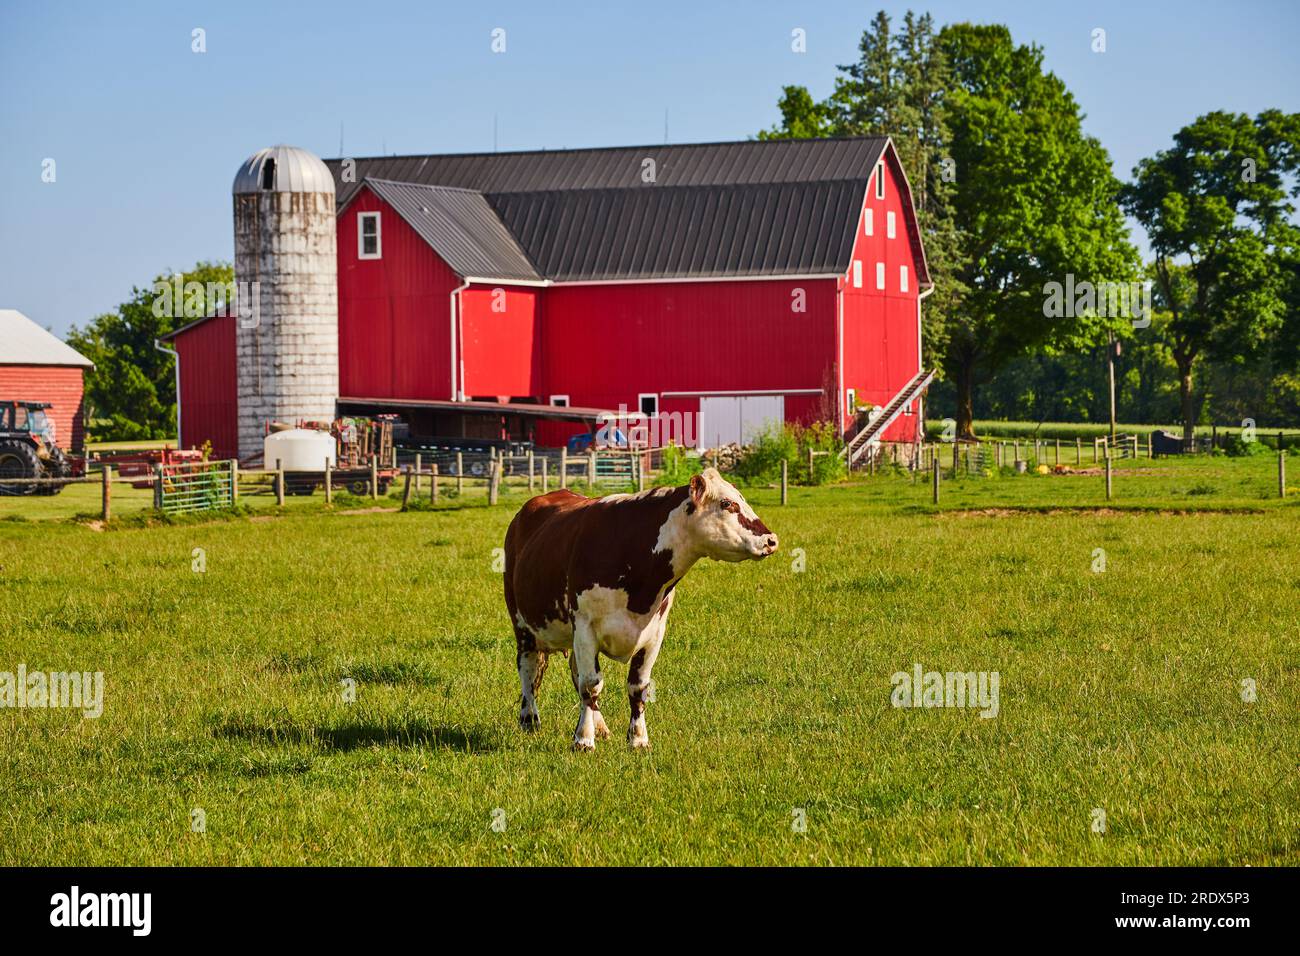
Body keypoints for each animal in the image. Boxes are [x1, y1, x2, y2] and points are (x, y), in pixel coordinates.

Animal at [503, 467, 777, 751]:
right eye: (727, 503)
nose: (771, 540)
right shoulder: (585, 627)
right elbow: (590, 684)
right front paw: (583, 740)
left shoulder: (654, 632)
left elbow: (637, 687)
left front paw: (637, 738)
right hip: (522, 623)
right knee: (529, 668)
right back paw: (529, 719)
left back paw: (600, 727)